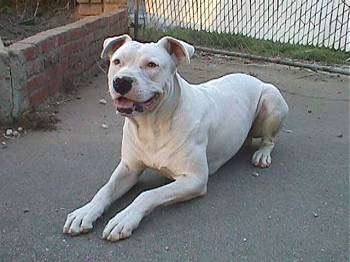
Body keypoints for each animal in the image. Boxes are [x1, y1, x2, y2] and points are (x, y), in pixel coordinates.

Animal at [63, 34, 290, 242]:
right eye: (117, 61)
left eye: (151, 65)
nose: (121, 81)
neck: (152, 125)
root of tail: (253, 77)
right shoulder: (129, 168)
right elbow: (105, 189)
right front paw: (85, 212)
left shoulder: (194, 179)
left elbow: (148, 194)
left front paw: (124, 218)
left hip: (271, 102)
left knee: (269, 140)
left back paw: (262, 155)